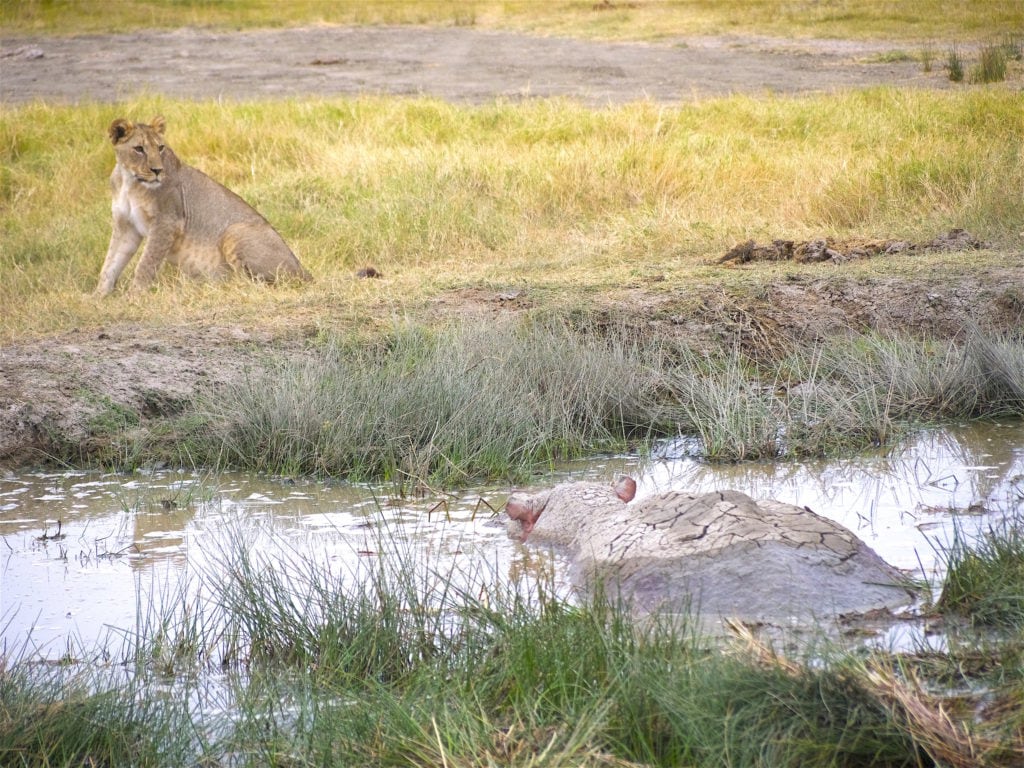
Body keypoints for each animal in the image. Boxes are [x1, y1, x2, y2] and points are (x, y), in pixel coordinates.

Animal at [95, 117, 311, 296]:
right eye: (139, 149)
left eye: (161, 147)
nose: (157, 170)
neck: (129, 182)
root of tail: (304, 271)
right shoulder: (126, 226)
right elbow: (110, 263)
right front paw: (98, 298)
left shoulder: (167, 222)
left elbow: (146, 263)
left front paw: (134, 297)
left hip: (234, 231)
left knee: (253, 285)